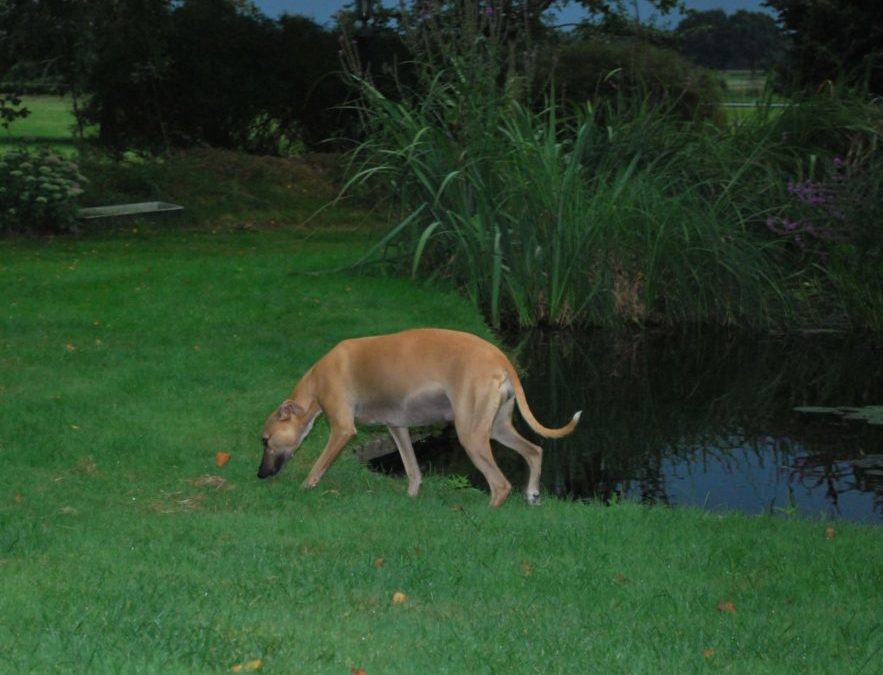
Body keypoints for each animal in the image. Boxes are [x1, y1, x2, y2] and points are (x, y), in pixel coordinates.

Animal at [258, 328, 584, 508]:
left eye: (265, 440)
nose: (260, 475)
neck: (318, 378)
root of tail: (500, 357)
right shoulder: (398, 427)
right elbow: (413, 470)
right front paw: (411, 499)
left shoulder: (342, 429)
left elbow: (318, 465)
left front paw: (304, 488)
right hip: (496, 427)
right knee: (535, 450)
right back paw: (532, 494)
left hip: (471, 433)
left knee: (500, 484)